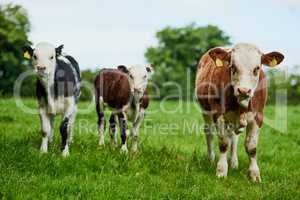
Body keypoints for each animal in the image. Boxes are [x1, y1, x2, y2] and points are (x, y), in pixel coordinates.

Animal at [196, 43, 284, 182]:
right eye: (233, 67)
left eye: (257, 68)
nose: (244, 90)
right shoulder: (218, 114)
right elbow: (223, 143)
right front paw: (221, 170)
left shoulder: (258, 116)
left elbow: (251, 147)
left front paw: (254, 174)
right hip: (206, 111)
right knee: (209, 132)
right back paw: (211, 159)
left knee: (234, 137)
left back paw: (233, 162)